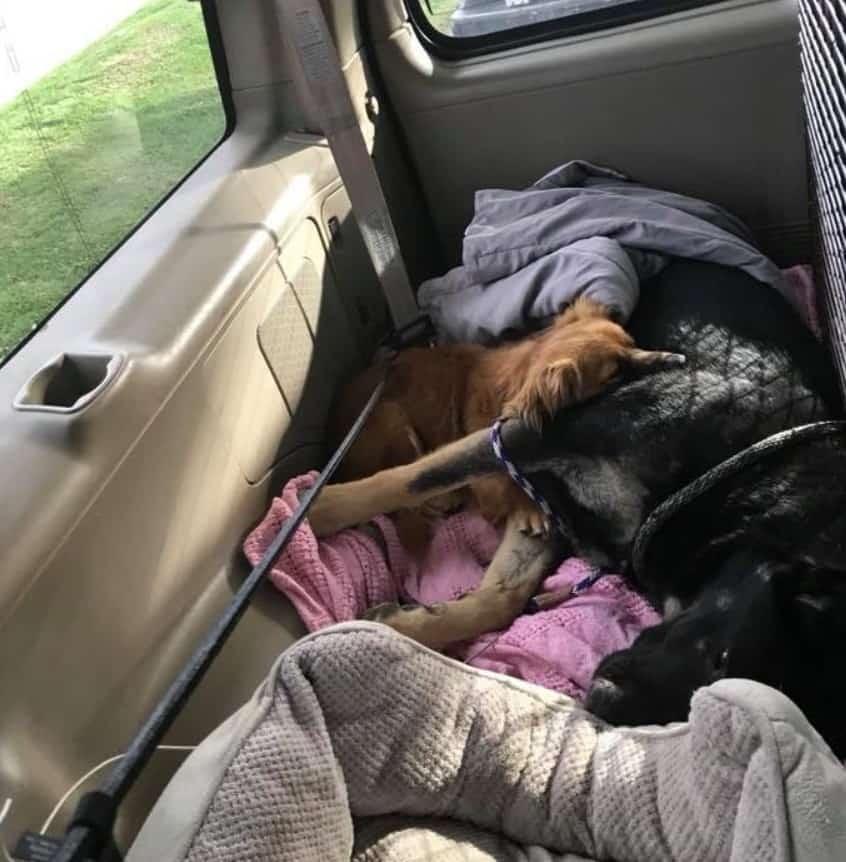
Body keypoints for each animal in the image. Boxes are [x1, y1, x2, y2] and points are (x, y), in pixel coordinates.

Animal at [332, 296, 684, 552]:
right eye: (614, 374)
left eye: (634, 343)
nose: (675, 359)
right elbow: (505, 481)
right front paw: (529, 509)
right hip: (392, 415)